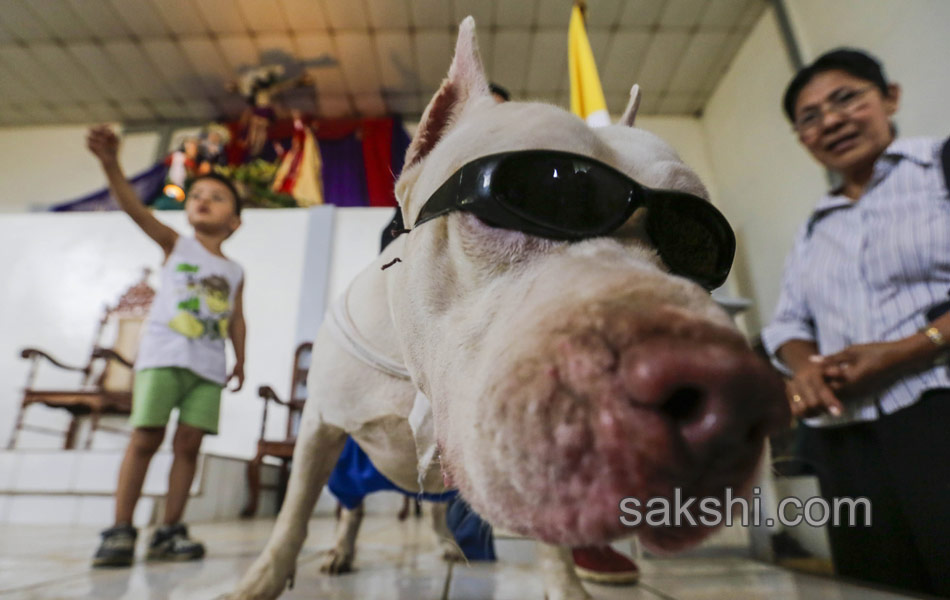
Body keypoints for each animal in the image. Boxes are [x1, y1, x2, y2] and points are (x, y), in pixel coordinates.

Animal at [225, 16, 788, 596]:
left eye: (699, 243)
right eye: (543, 191)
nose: (732, 396)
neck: (415, 382)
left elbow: (554, 547)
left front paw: (567, 587)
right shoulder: (318, 428)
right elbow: (292, 517)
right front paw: (260, 581)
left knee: (432, 509)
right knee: (350, 510)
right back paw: (341, 549)